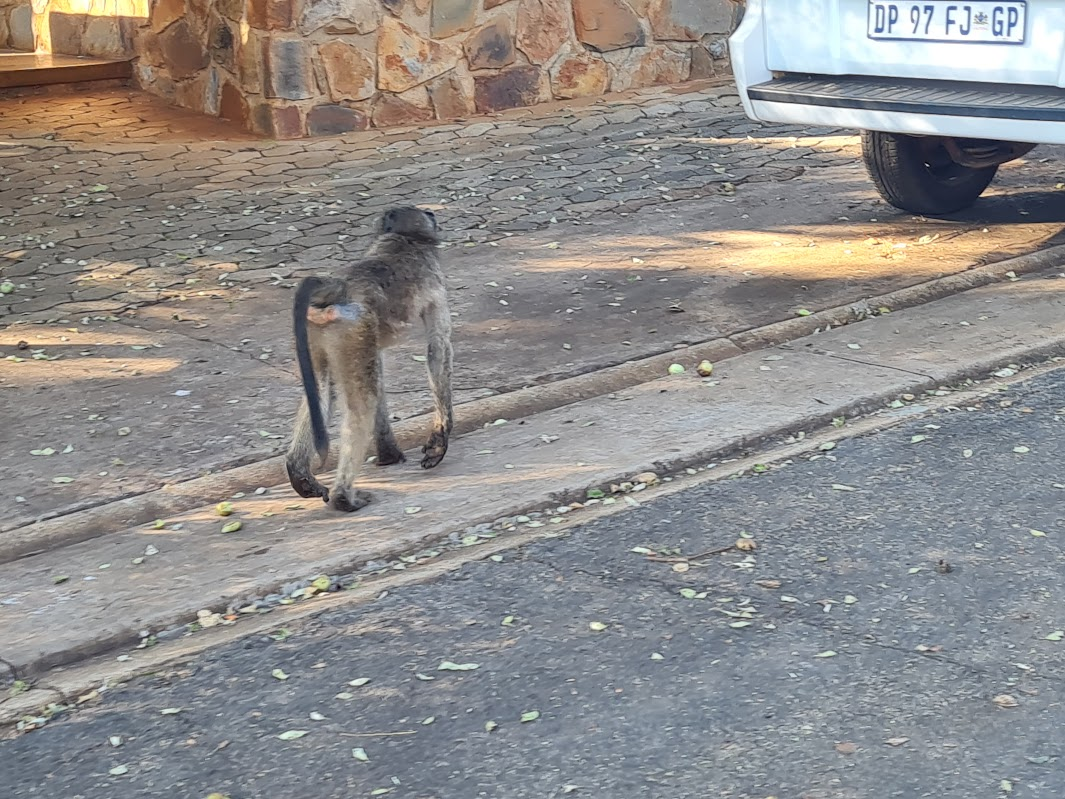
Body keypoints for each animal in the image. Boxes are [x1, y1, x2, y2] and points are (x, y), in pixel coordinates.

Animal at [285, 206, 453, 513]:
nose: (432, 214)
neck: (403, 238)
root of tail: (340, 285)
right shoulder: (435, 284)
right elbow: (437, 349)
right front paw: (438, 443)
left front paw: (389, 454)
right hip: (352, 325)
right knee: (362, 403)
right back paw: (343, 498)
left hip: (320, 329)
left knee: (323, 389)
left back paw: (299, 473)